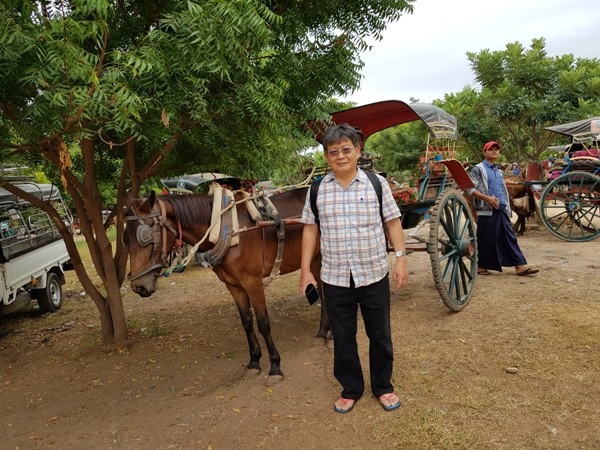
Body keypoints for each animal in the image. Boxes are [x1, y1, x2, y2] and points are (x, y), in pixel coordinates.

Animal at [123, 188, 326, 382]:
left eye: (146, 237)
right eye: (125, 239)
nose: (138, 286)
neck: (226, 229)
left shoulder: (253, 282)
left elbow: (263, 323)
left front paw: (275, 366)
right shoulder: (233, 285)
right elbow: (246, 322)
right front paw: (254, 362)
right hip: (315, 258)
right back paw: (324, 334)